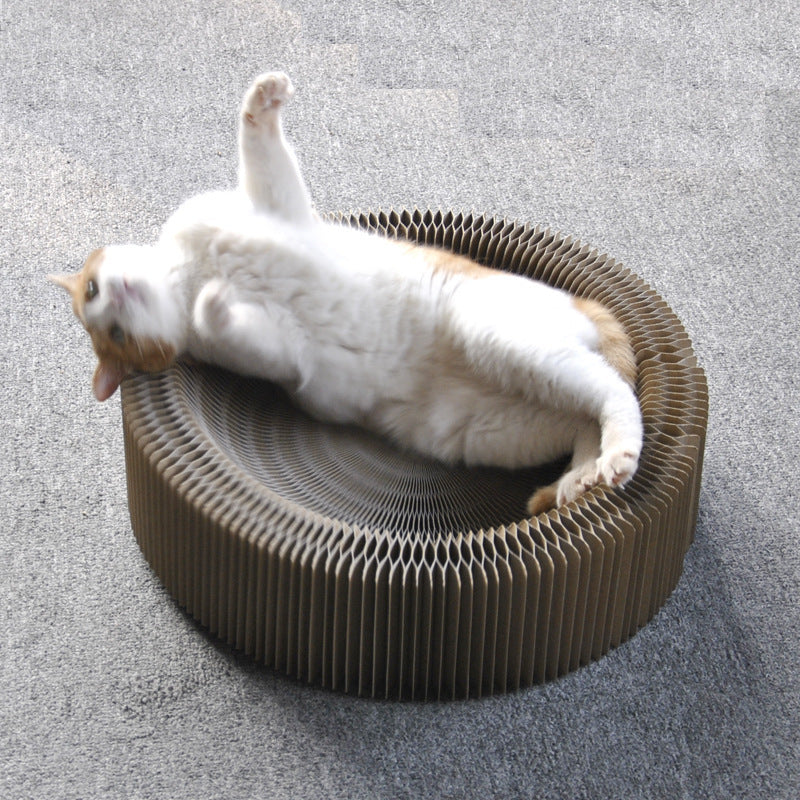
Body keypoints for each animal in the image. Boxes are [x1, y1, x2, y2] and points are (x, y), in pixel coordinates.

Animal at [50, 72, 640, 516]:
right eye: (114, 333)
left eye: (95, 289)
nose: (114, 299)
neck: (190, 272)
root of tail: (581, 302)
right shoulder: (285, 357)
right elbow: (242, 328)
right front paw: (215, 301)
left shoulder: (278, 206)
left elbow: (257, 141)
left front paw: (265, 96)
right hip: (504, 399)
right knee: (607, 403)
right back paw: (598, 470)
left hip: (501, 342)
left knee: (610, 394)